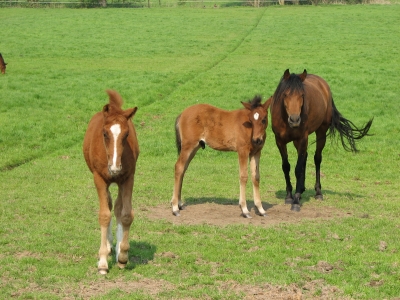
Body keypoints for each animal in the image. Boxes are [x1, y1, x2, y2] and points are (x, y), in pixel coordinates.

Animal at [82, 89, 139, 274]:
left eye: (126, 134)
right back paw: (108, 247)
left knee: (118, 207)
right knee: (108, 204)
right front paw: (102, 261)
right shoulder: (99, 179)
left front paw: (122, 256)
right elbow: (104, 215)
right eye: (105, 134)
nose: (114, 167)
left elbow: (126, 214)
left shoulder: (128, 178)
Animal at [270, 69, 374, 212]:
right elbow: (286, 167)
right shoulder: (279, 141)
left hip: (321, 132)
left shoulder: (303, 138)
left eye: (302, 95)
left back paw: (317, 192)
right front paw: (289, 196)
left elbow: (298, 169)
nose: (295, 120)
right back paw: (301, 189)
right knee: (305, 157)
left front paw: (296, 201)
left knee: (317, 158)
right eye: (285, 94)